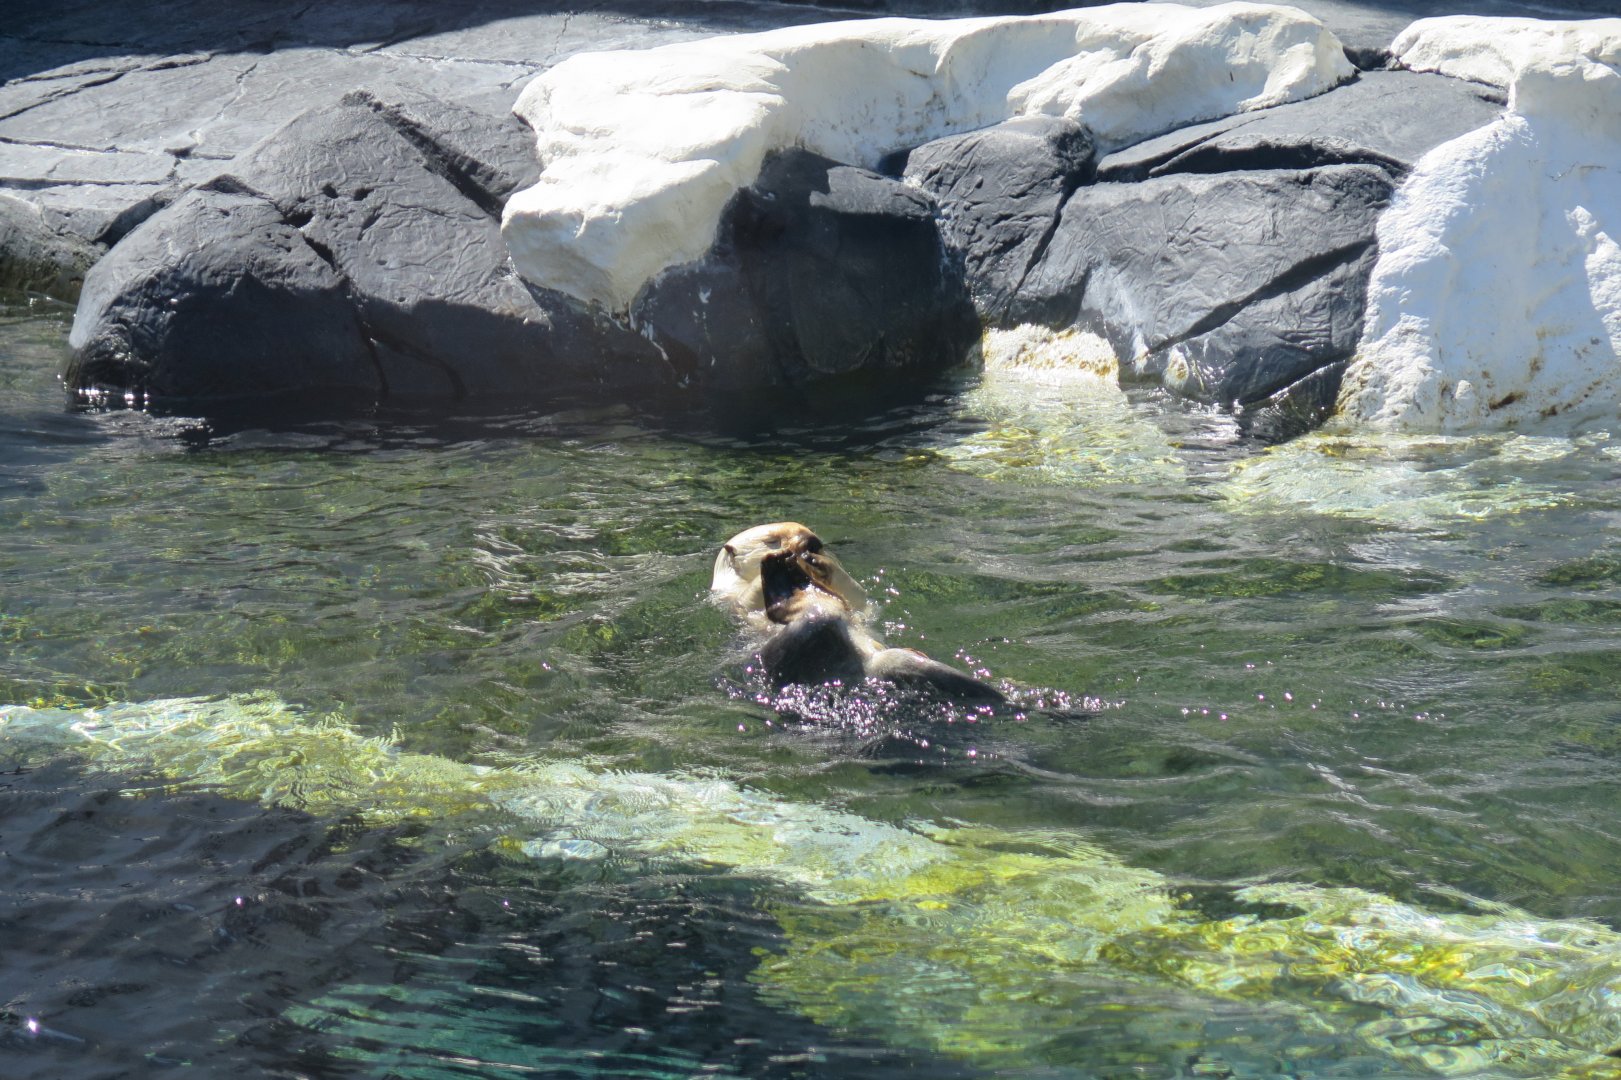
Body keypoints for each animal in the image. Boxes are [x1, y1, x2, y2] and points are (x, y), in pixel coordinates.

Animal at [711, 522, 1003, 702]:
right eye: (772, 540)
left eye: (808, 530)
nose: (811, 543)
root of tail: (863, 668)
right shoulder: (732, 599)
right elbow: (746, 597)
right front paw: (784, 559)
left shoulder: (856, 599)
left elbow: (857, 596)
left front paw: (819, 562)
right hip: (788, 648)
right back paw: (778, 571)